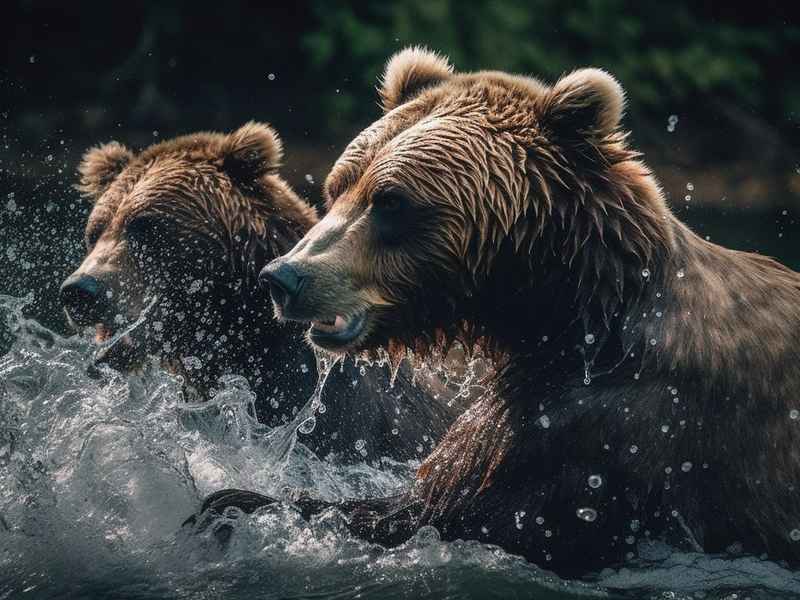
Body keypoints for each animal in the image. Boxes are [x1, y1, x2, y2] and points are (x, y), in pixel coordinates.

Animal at [243, 48, 800, 574]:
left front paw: (244, 499)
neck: (574, 316)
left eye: (391, 201)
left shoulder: (605, 430)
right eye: (339, 185)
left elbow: (445, 511)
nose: (284, 277)